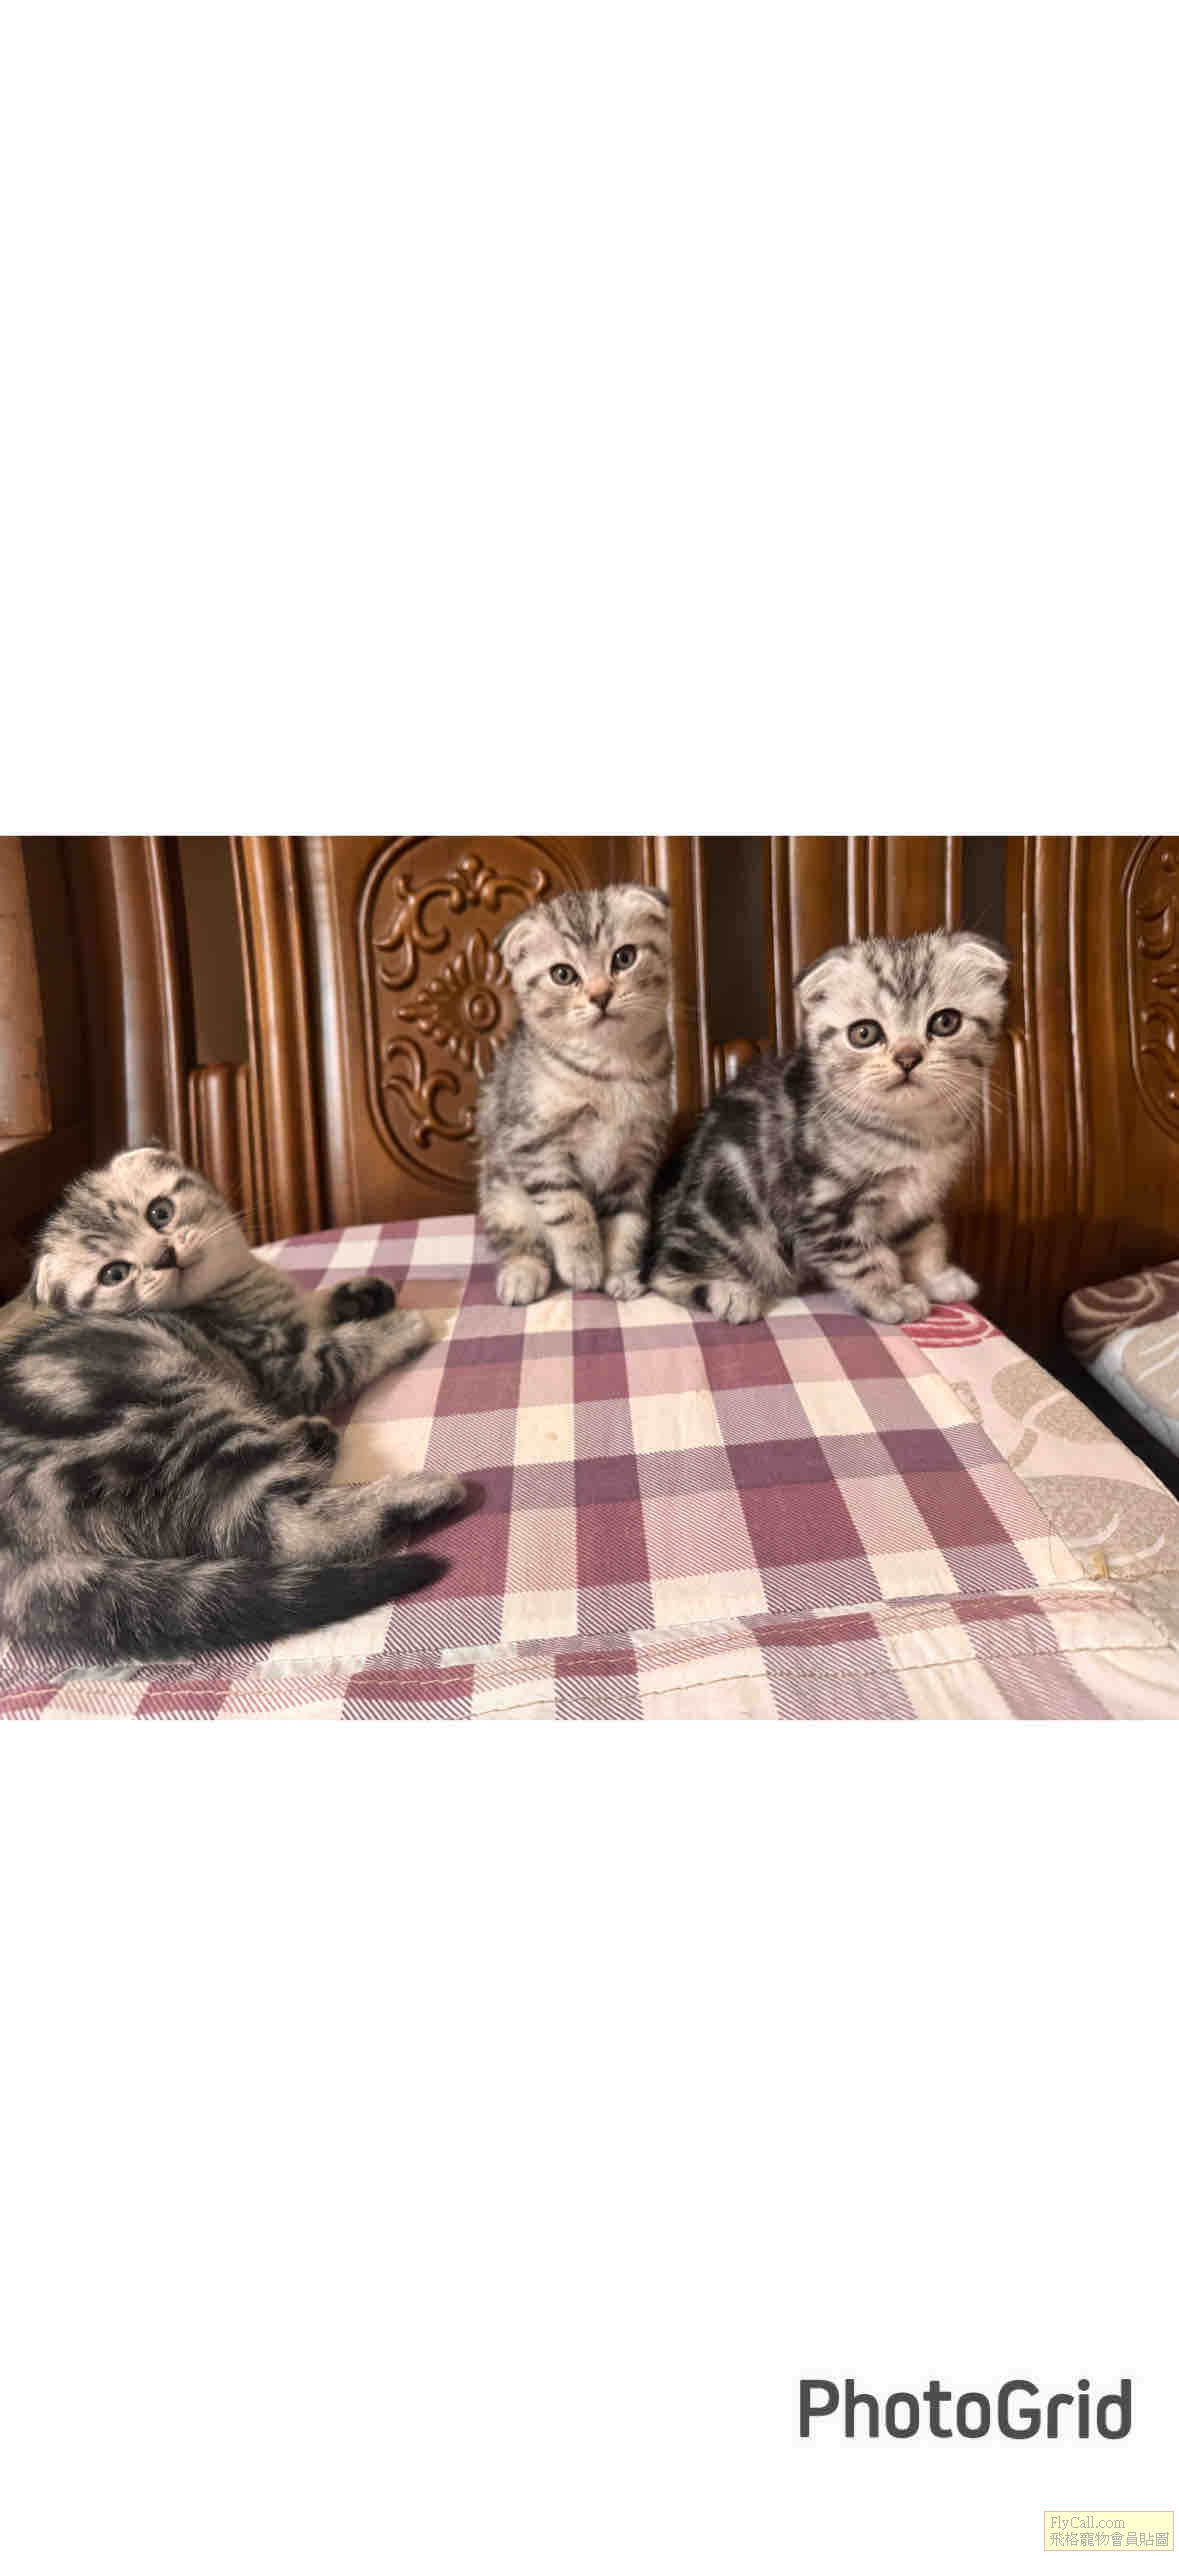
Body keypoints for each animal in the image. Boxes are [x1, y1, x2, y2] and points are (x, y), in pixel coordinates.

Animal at [0, 1146, 464, 1660]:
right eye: (115, 1273)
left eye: (159, 1212)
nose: (163, 1256)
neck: (235, 1288)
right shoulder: (290, 1369)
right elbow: (346, 1351)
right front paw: (404, 1325)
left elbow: (308, 1301)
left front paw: (359, 1293)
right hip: (177, 1420)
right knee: (284, 1528)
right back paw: (419, 1491)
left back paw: (312, 1437)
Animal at [477, 884, 673, 1306]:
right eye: (563, 974)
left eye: (624, 957)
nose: (600, 995)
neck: (611, 1071)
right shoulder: (533, 1143)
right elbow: (568, 1206)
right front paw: (583, 1263)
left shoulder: (637, 1156)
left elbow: (628, 1220)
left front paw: (620, 1272)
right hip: (500, 1192)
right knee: (518, 1238)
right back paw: (522, 1272)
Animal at [647, 929, 1008, 1324]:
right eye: (864, 1033)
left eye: (945, 1022)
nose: (907, 1057)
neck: (912, 1131)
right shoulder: (824, 1205)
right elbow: (864, 1258)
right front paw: (889, 1295)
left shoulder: (920, 1198)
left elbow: (924, 1239)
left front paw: (936, 1278)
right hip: (728, 1215)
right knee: (665, 1275)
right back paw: (729, 1291)